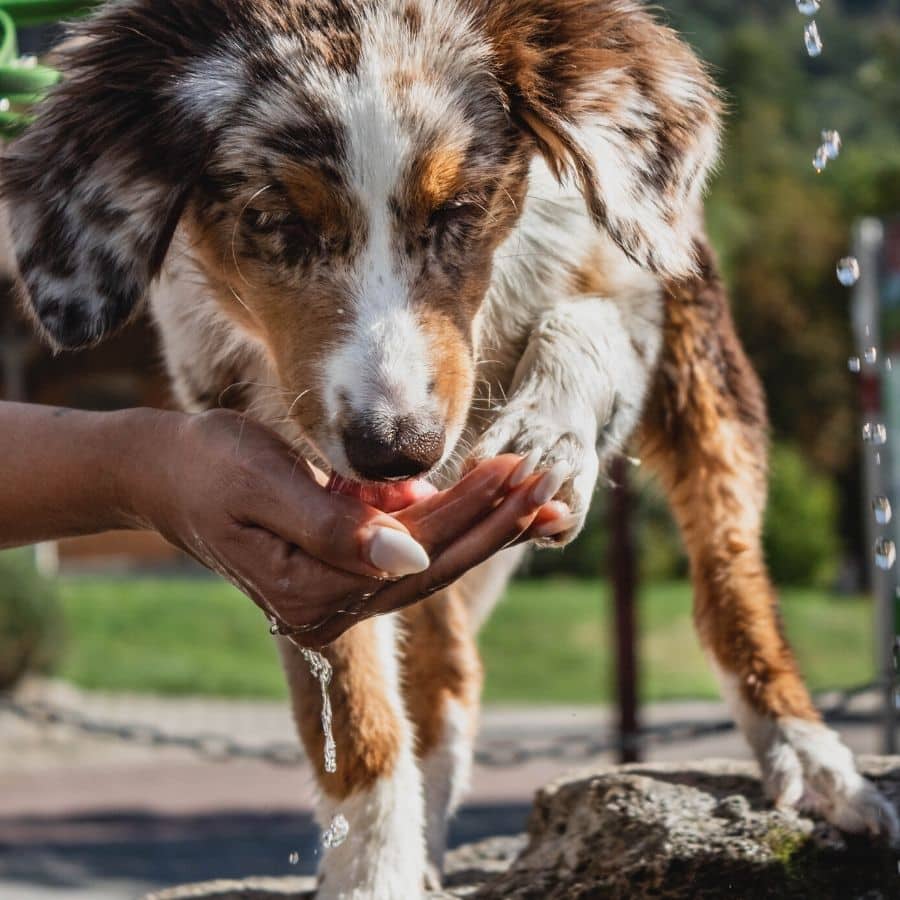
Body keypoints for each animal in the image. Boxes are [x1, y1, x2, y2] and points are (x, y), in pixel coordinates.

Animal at [3, 3, 896, 896]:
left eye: (458, 210)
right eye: (277, 223)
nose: (397, 450)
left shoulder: (628, 276)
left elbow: (582, 326)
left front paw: (548, 434)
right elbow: (354, 701)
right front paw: (373, 866)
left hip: (702, 354)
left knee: (727, 567)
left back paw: (810, 756)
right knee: (444, 667)